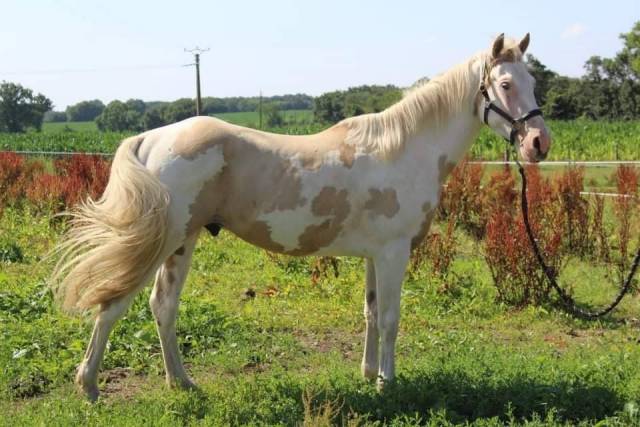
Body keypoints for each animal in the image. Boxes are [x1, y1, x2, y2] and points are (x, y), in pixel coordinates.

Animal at [52, 33, 551, 401]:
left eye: (532, 80)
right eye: (505, 84)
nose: (538, 143)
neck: (406, 149)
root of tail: (151, 138)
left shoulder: (375, 256)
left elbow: (371, 314)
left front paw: (368, 374)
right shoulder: (393, 253)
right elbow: (391, 318)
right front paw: (388, 384)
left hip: (182, 243)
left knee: (163, 306)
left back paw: (182, 383)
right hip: (163, 239)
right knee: (114, 304)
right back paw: (90, 386)